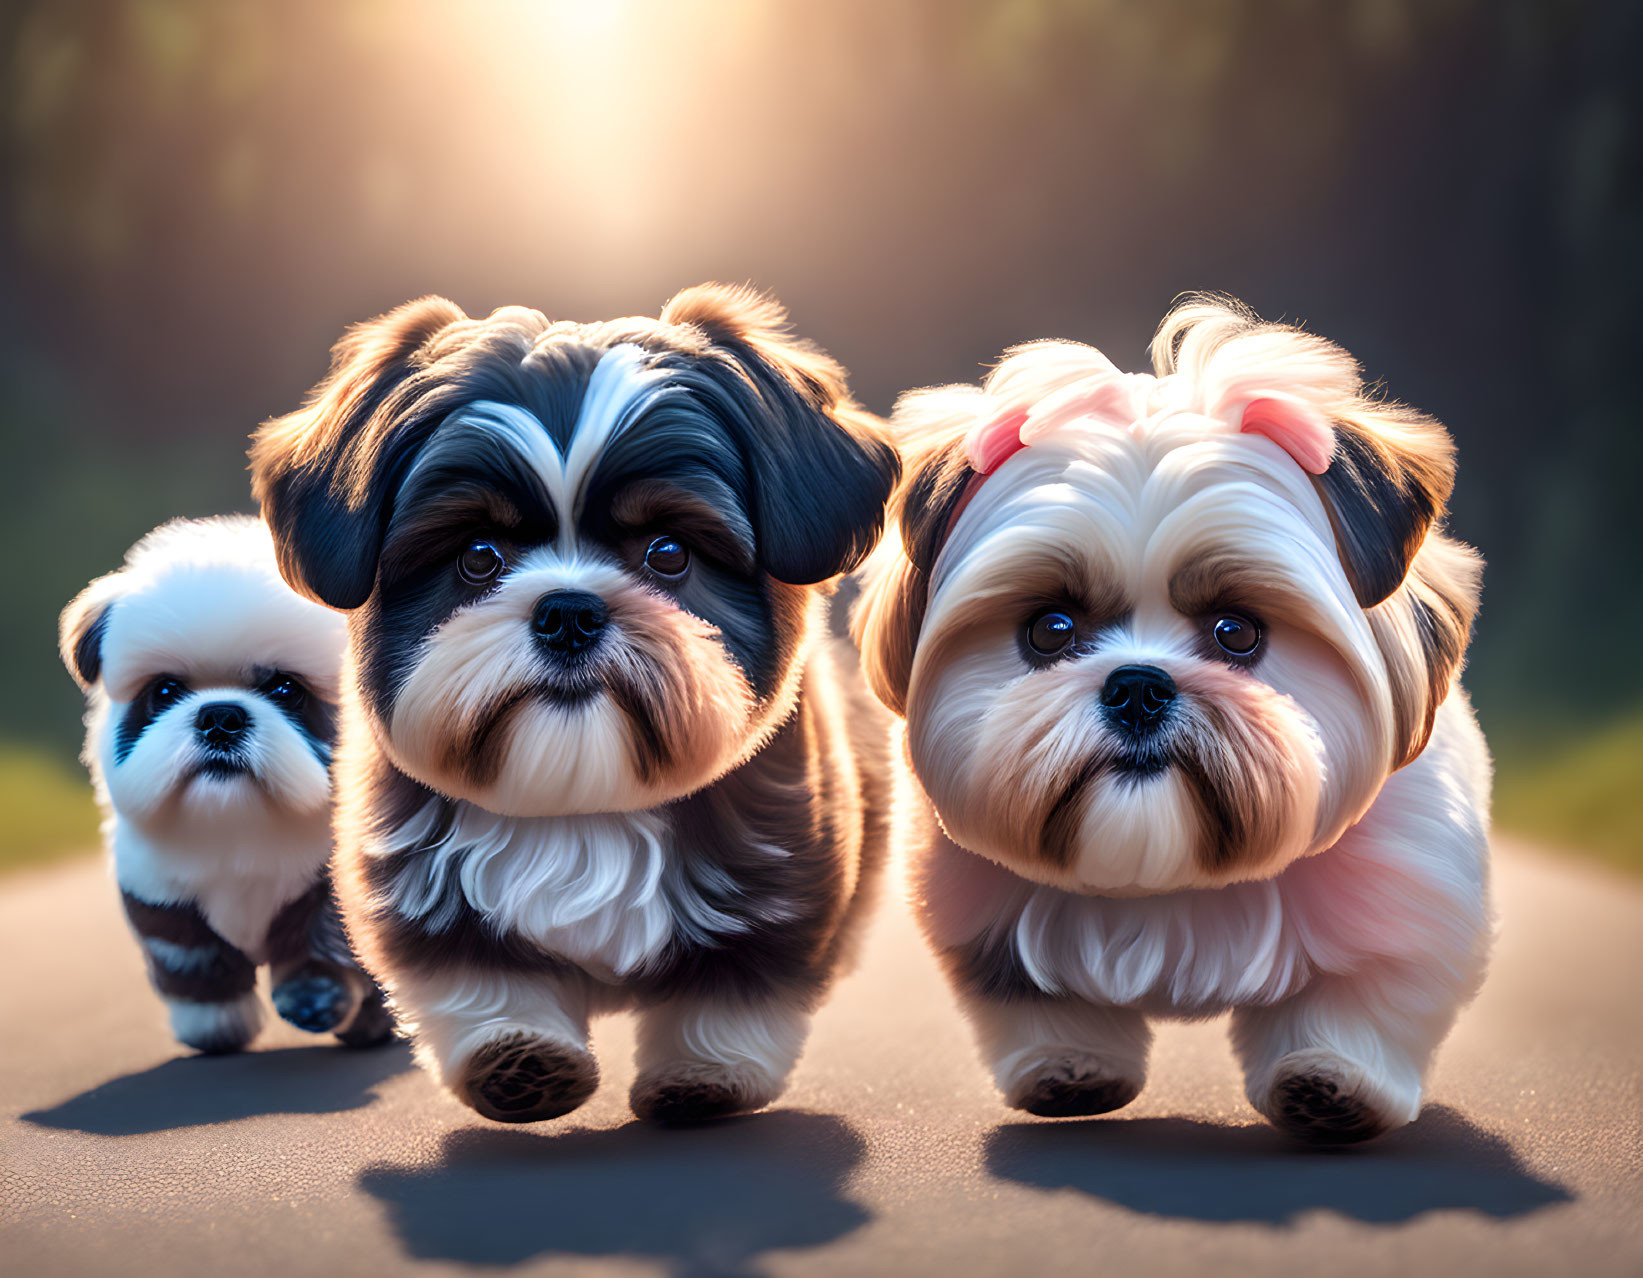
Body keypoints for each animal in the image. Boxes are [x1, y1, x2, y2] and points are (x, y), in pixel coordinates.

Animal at [58, 512, 394, 1051]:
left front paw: (313, 1000)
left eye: (286, 689)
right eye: (165, 691)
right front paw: (214, 1026)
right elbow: (194, 968)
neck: (237, 824)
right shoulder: (161, 899)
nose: (220, 717)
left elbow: (325, 944)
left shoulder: (332, 887)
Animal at [251, 284, 906, 1123]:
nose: (567, 611)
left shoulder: (783, 872)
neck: (582, 802)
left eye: (668, 553)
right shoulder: (417, 882)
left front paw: (704, 1073)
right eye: (477, 557)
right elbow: (478, 979)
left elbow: (734, 989)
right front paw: (518, 1058)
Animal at [854, 300, 1498, 1143]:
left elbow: (1359, 995)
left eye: (1236, 632)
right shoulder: (986, 919)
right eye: (1050, 630)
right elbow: (1034, 996)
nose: (1137, 687)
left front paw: (1332, 1081)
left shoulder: (1400, 903)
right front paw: (1068, 1067)